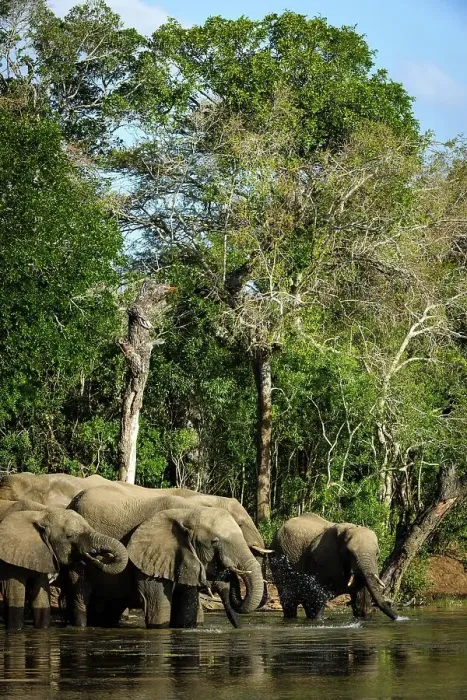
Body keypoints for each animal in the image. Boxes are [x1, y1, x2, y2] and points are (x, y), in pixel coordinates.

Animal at [0, 507, 128, 630]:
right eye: (69, 536)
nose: (94, 556)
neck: (41, 517)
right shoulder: (11, 561)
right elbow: (15, 602)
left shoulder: (42, 556)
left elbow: (41, 602)